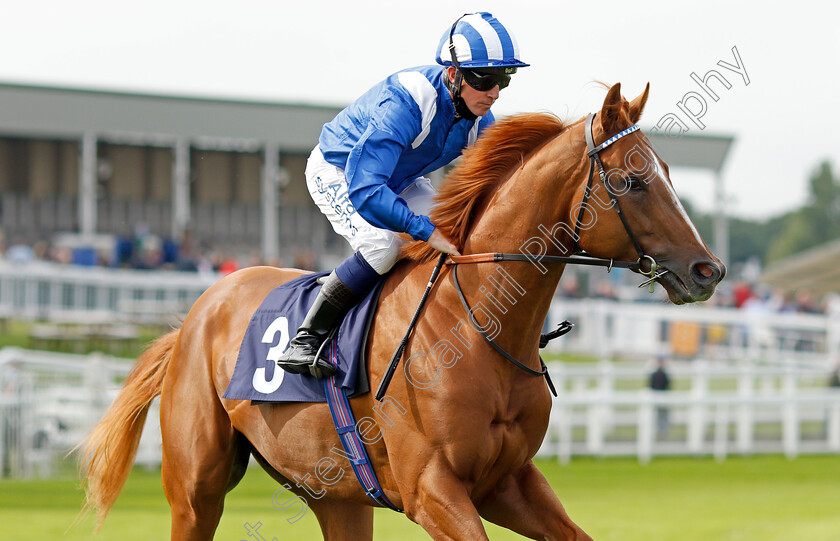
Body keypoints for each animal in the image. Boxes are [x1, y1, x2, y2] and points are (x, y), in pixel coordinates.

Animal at [79, 82, 720, 536]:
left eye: (667, 172)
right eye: (634, 181)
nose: (707, 270)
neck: (478, 327)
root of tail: (196, 314)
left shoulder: (508, 481)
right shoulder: (431, 488)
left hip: (335, 495)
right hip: (196, 487)